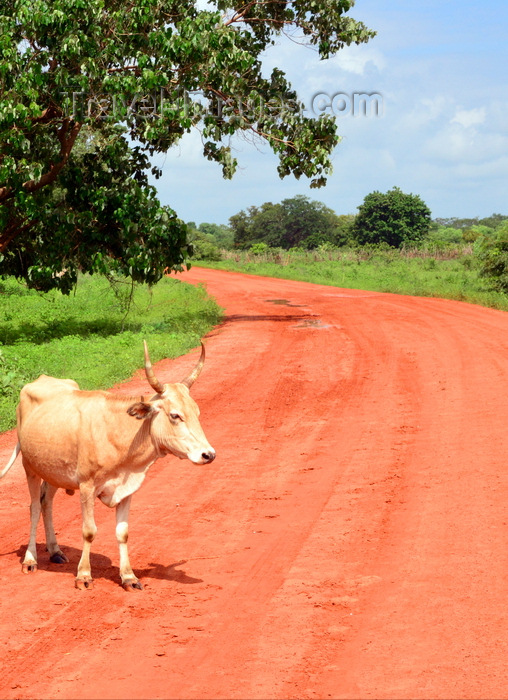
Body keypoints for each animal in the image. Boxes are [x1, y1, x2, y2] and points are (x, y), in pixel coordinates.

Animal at [0, 342, 214, 592]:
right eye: (175, 415)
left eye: (197, 413)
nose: (208, 454)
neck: (122, 433)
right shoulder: (87, 486)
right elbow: (89, 531)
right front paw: (83, 575)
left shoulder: (127, 489)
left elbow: (123, 533)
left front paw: (128, 576)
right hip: (30, 467)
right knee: (34, 507)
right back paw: (30, 559)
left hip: (53, 470)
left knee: (46, 502)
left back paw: (55, 551)